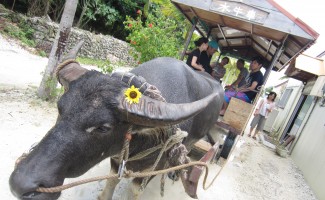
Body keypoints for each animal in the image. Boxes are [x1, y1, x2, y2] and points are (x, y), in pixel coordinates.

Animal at [9, 41, 223, 199]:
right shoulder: (116, 157)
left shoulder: (152, 169)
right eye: (60, 107)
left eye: (103, 127)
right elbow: (112, 179)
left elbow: (135, 190)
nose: (20, 183)